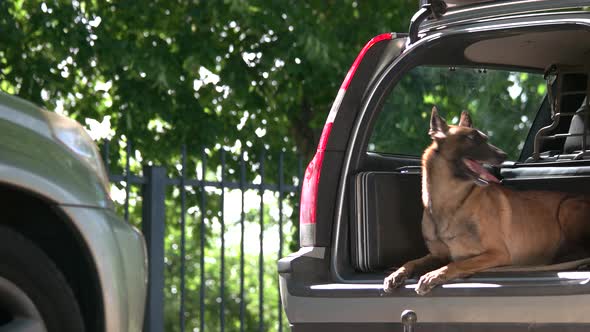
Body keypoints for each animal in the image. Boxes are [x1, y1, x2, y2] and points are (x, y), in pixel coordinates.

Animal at [384, 106, 590, 296]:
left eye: (485, 138)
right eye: (471, 138)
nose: (504, 156)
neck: (450, 202)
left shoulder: (497, 253)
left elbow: (456, 264)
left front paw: (433, 275)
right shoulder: (437, 255)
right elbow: (412, 261)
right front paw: (397, 273)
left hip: (567, 207)